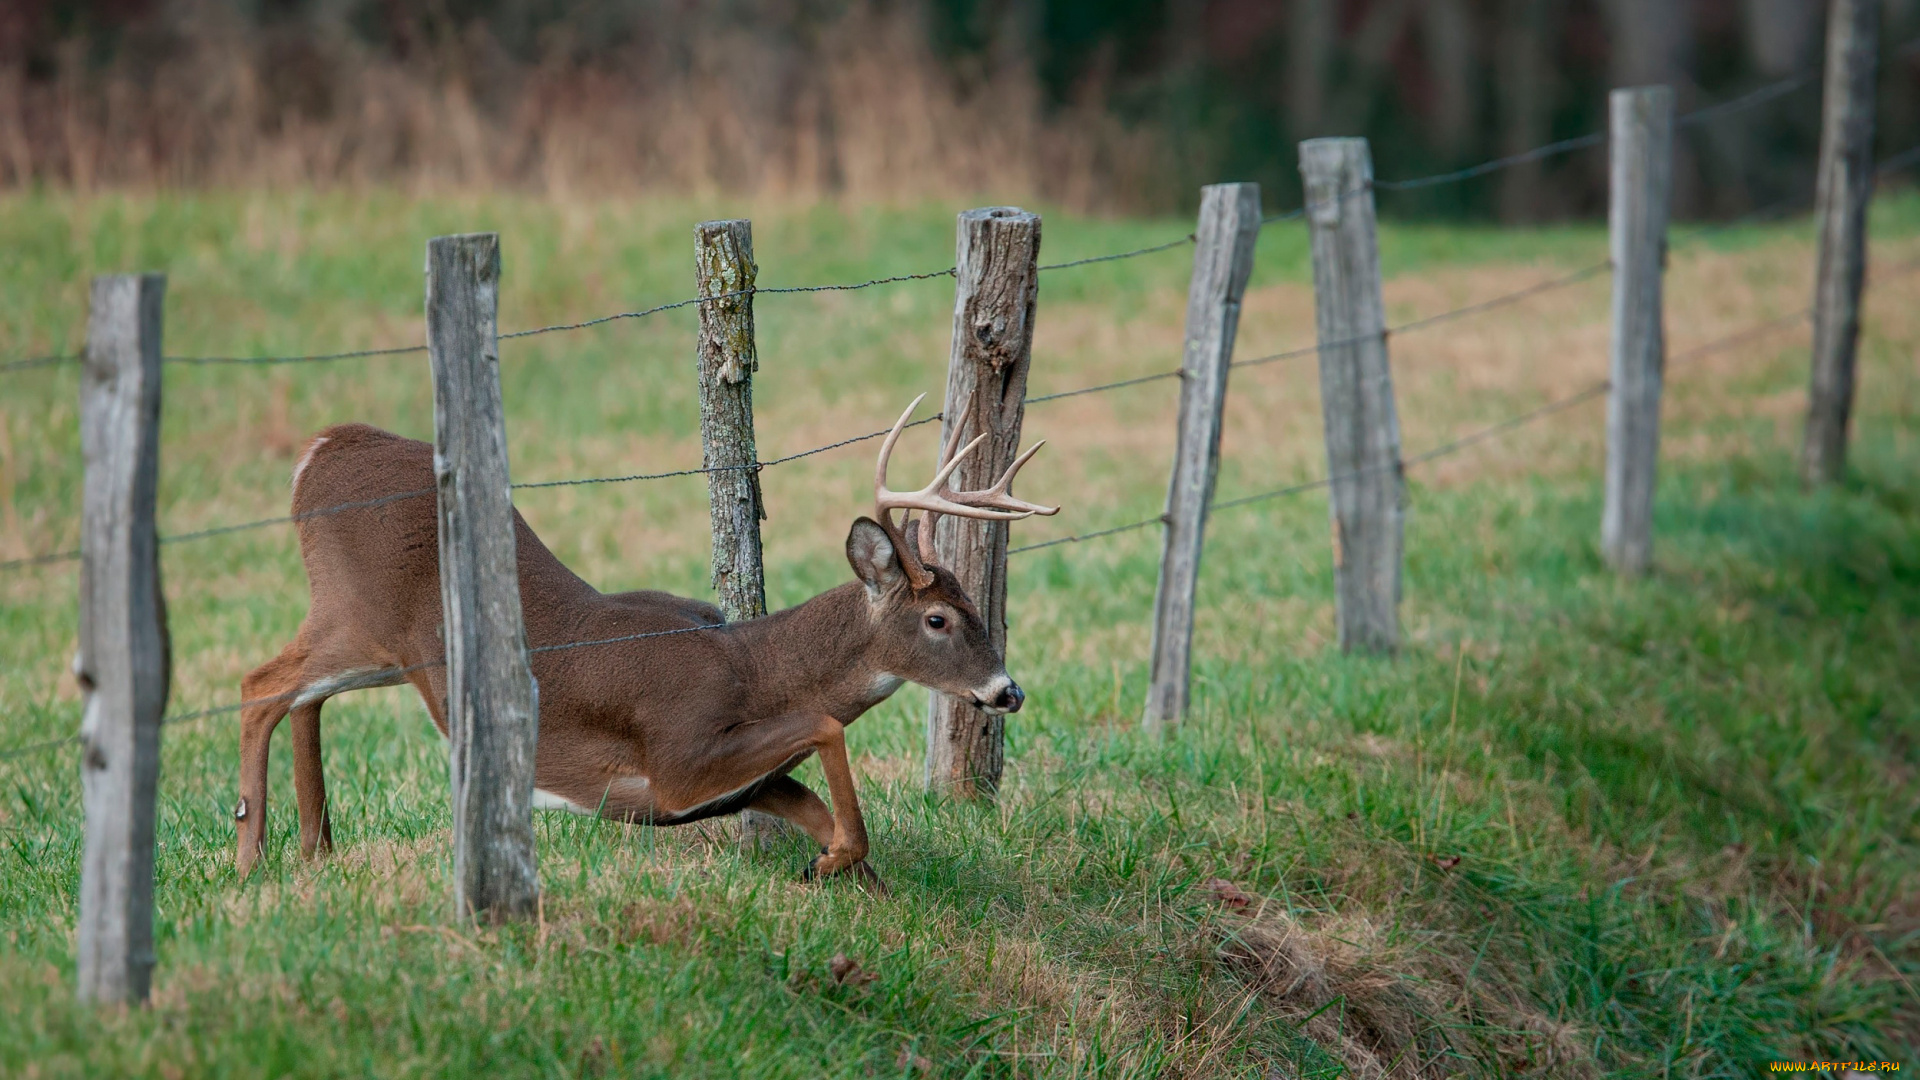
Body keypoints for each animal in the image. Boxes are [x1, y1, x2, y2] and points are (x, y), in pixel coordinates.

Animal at [236, 390, 1067, 887]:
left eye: (975, 605)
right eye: (937, 620)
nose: (1007, 691)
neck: (755, 669)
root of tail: (319, 450)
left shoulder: (744, 782)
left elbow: (826, 814)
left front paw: (837, 868)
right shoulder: (676, 760)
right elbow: (828, 727)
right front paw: (828, 864)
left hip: (376, 649)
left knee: (304, 697)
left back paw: (316, 848)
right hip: (356, 615)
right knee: (260, 685)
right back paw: (250, 859)